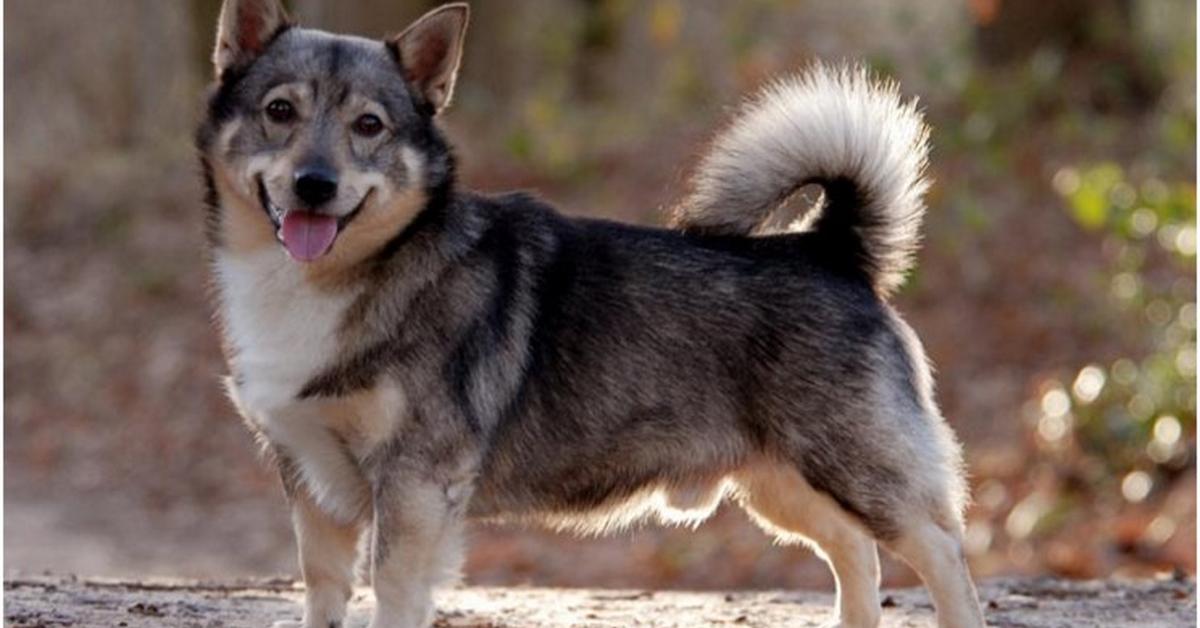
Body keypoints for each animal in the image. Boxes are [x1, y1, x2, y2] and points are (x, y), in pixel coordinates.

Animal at [196, 2, 984, 624]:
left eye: (368, 125)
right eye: (280, 111)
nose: (315, 184)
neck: (336, 282)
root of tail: (829, 246)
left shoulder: (415, 489)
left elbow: (391, 595)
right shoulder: (313, 488)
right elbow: (322, 591)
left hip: (856, 470)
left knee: (944, 557)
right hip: (783, 482)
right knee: (856, 555)